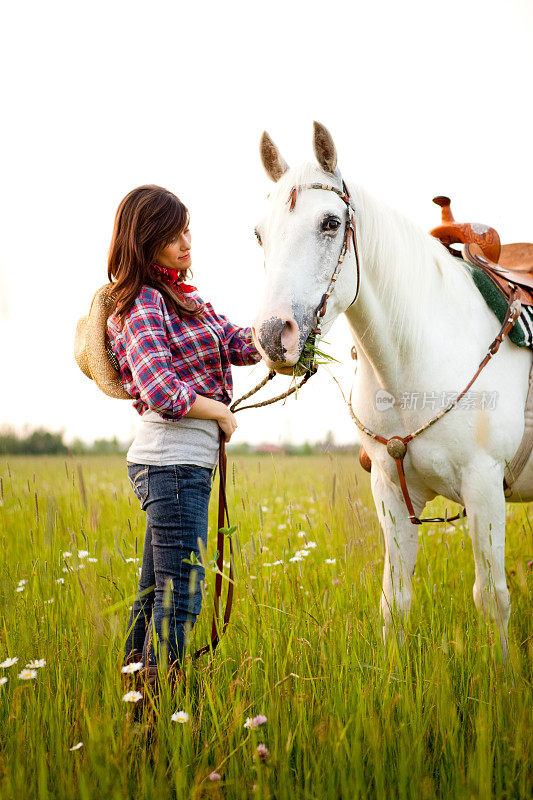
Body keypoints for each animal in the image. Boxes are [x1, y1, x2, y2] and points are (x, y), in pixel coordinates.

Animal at [252, 120, 532, 656]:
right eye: (259, 233)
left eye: (330, 223)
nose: (275, 336)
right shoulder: (390, 490)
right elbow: (394, 602)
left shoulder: (485, 486)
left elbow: (492, 599)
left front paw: (502, 674)